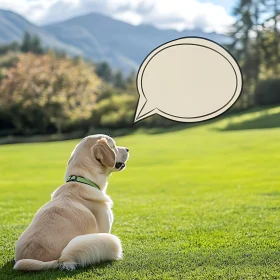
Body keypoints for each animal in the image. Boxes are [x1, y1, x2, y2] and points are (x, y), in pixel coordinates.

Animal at [13, 135, 130, 270]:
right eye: (114, 146)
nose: (128, 149)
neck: (83, 180)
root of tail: (57, 260)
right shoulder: (104, 230)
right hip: (108, 240)